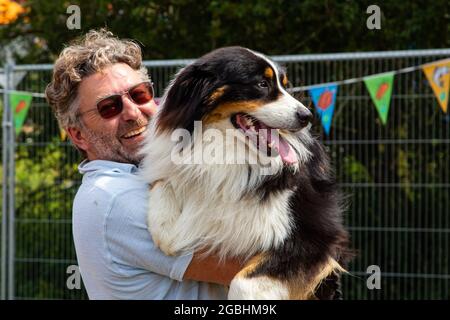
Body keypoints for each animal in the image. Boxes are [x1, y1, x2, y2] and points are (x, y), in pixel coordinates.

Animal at [141, 46, 352, 298]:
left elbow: (244, 282)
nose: (307, 116)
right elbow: (164, 185)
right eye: (262, 84)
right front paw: (166, 229)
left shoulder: (318, 236)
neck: (228, 154)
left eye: (285, 85)